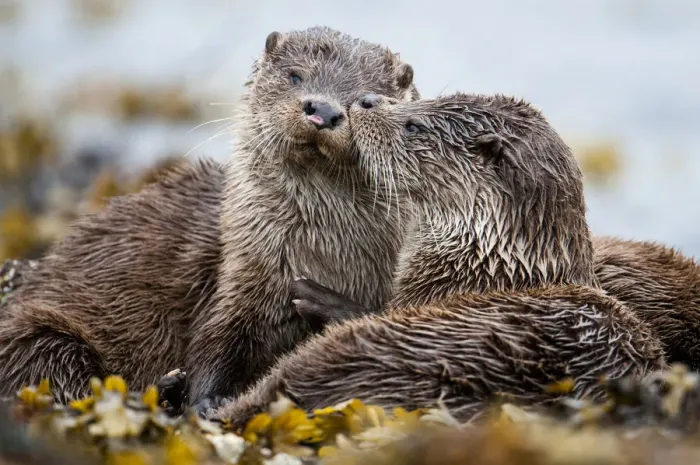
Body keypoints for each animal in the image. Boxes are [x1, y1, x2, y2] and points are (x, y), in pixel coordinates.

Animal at [0, 27, 419, 407]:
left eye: (368, 100)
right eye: (296, 75)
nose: (324, 110)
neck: (325, 256)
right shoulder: (243, 274)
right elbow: (217, 339)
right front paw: (205, 399)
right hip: (38, 335)